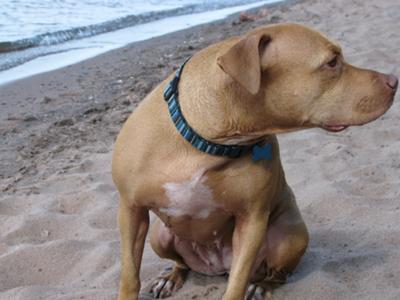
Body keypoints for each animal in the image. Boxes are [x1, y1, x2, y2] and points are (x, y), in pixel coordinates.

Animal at [111, 24, 396, 300]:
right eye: (332, 62)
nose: (394, 80)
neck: (207, 141)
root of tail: (216, 266)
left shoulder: (252, 220)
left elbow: (237, 284)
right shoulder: (131, 209)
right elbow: (130, 276)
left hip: (290, 237)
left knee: (276, 273)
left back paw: (261, 285)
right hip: (159, 236)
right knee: (182, 262)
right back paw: (171, 277)